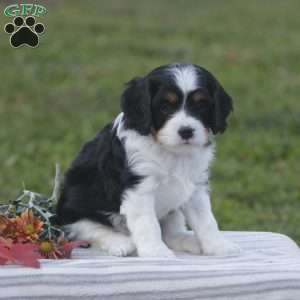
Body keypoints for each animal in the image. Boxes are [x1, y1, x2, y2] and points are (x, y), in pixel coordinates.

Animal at [56, 63, 241, 258]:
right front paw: (156, 251)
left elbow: (206, 219)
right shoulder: (139, 188)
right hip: (77, 203)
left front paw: (219, 246)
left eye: (201, 105)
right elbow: (147, 223)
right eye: (165, 106)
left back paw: (187, 240)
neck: (169, 150)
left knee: (171, 232)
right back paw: (120, 243)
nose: (186, 132)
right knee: (85, 228)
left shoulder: (196, 186)